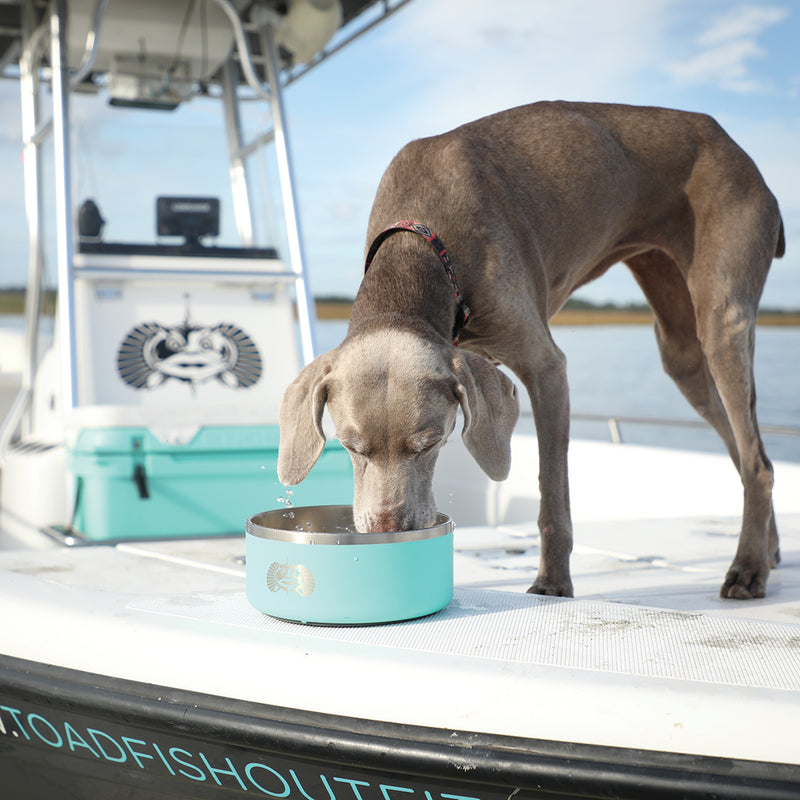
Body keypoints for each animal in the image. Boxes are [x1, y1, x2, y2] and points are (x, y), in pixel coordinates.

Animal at [278, 101, 784, 600]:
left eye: (431, 443)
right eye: (350, 446)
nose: (389, 531)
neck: (420, 244)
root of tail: (738, 151)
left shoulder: (548, 370)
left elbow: (552, 495)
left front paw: (553, 584)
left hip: (722, 315)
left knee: (756, 461)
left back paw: (747, 569)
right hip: (680, 344)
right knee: (748, 452)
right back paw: (770, 549)